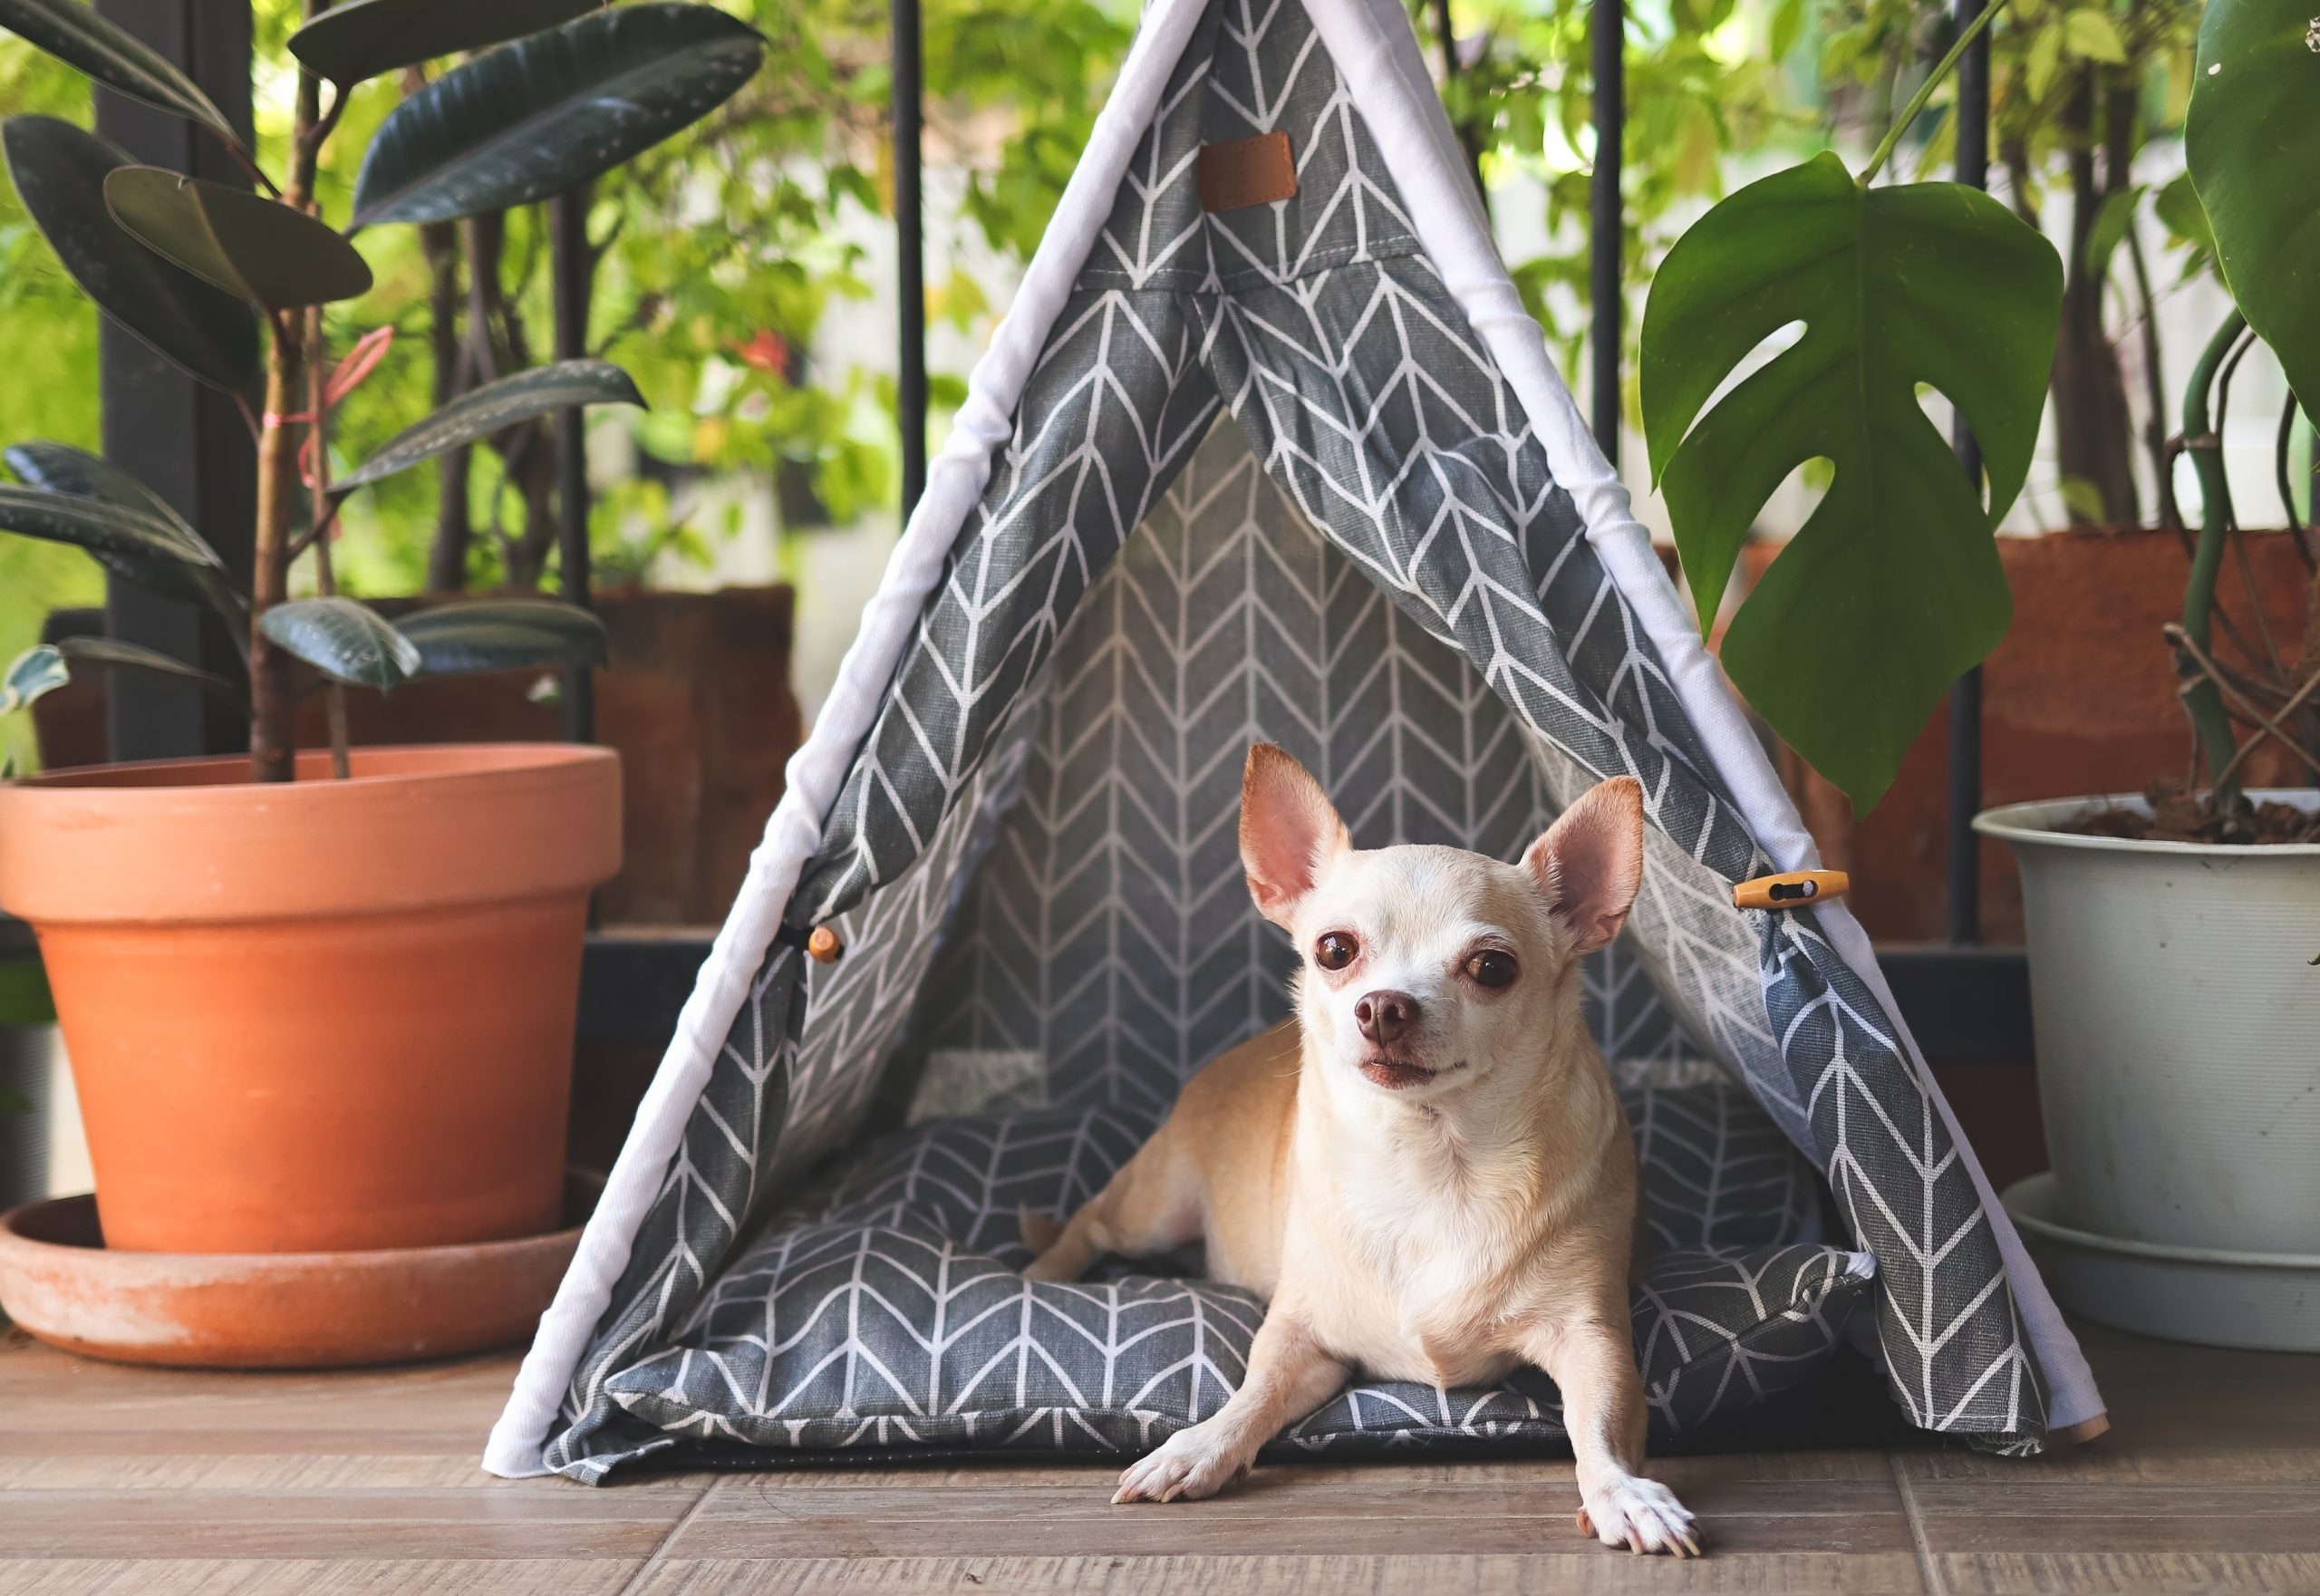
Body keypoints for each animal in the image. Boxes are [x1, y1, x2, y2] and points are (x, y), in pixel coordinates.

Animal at [1025, 747, 1697, 1559]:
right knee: (1090, 1220)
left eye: (1492, 968)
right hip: (1156, 1204)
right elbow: (1251, 1393)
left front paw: (1624, 1493)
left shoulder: (1593, 1338)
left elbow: (1595, 1422)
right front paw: (1198, 1445)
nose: (1382, 1005)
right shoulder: (1302, 1336)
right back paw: (1040, 1271)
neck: (1434, 1159)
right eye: (1335, 950)